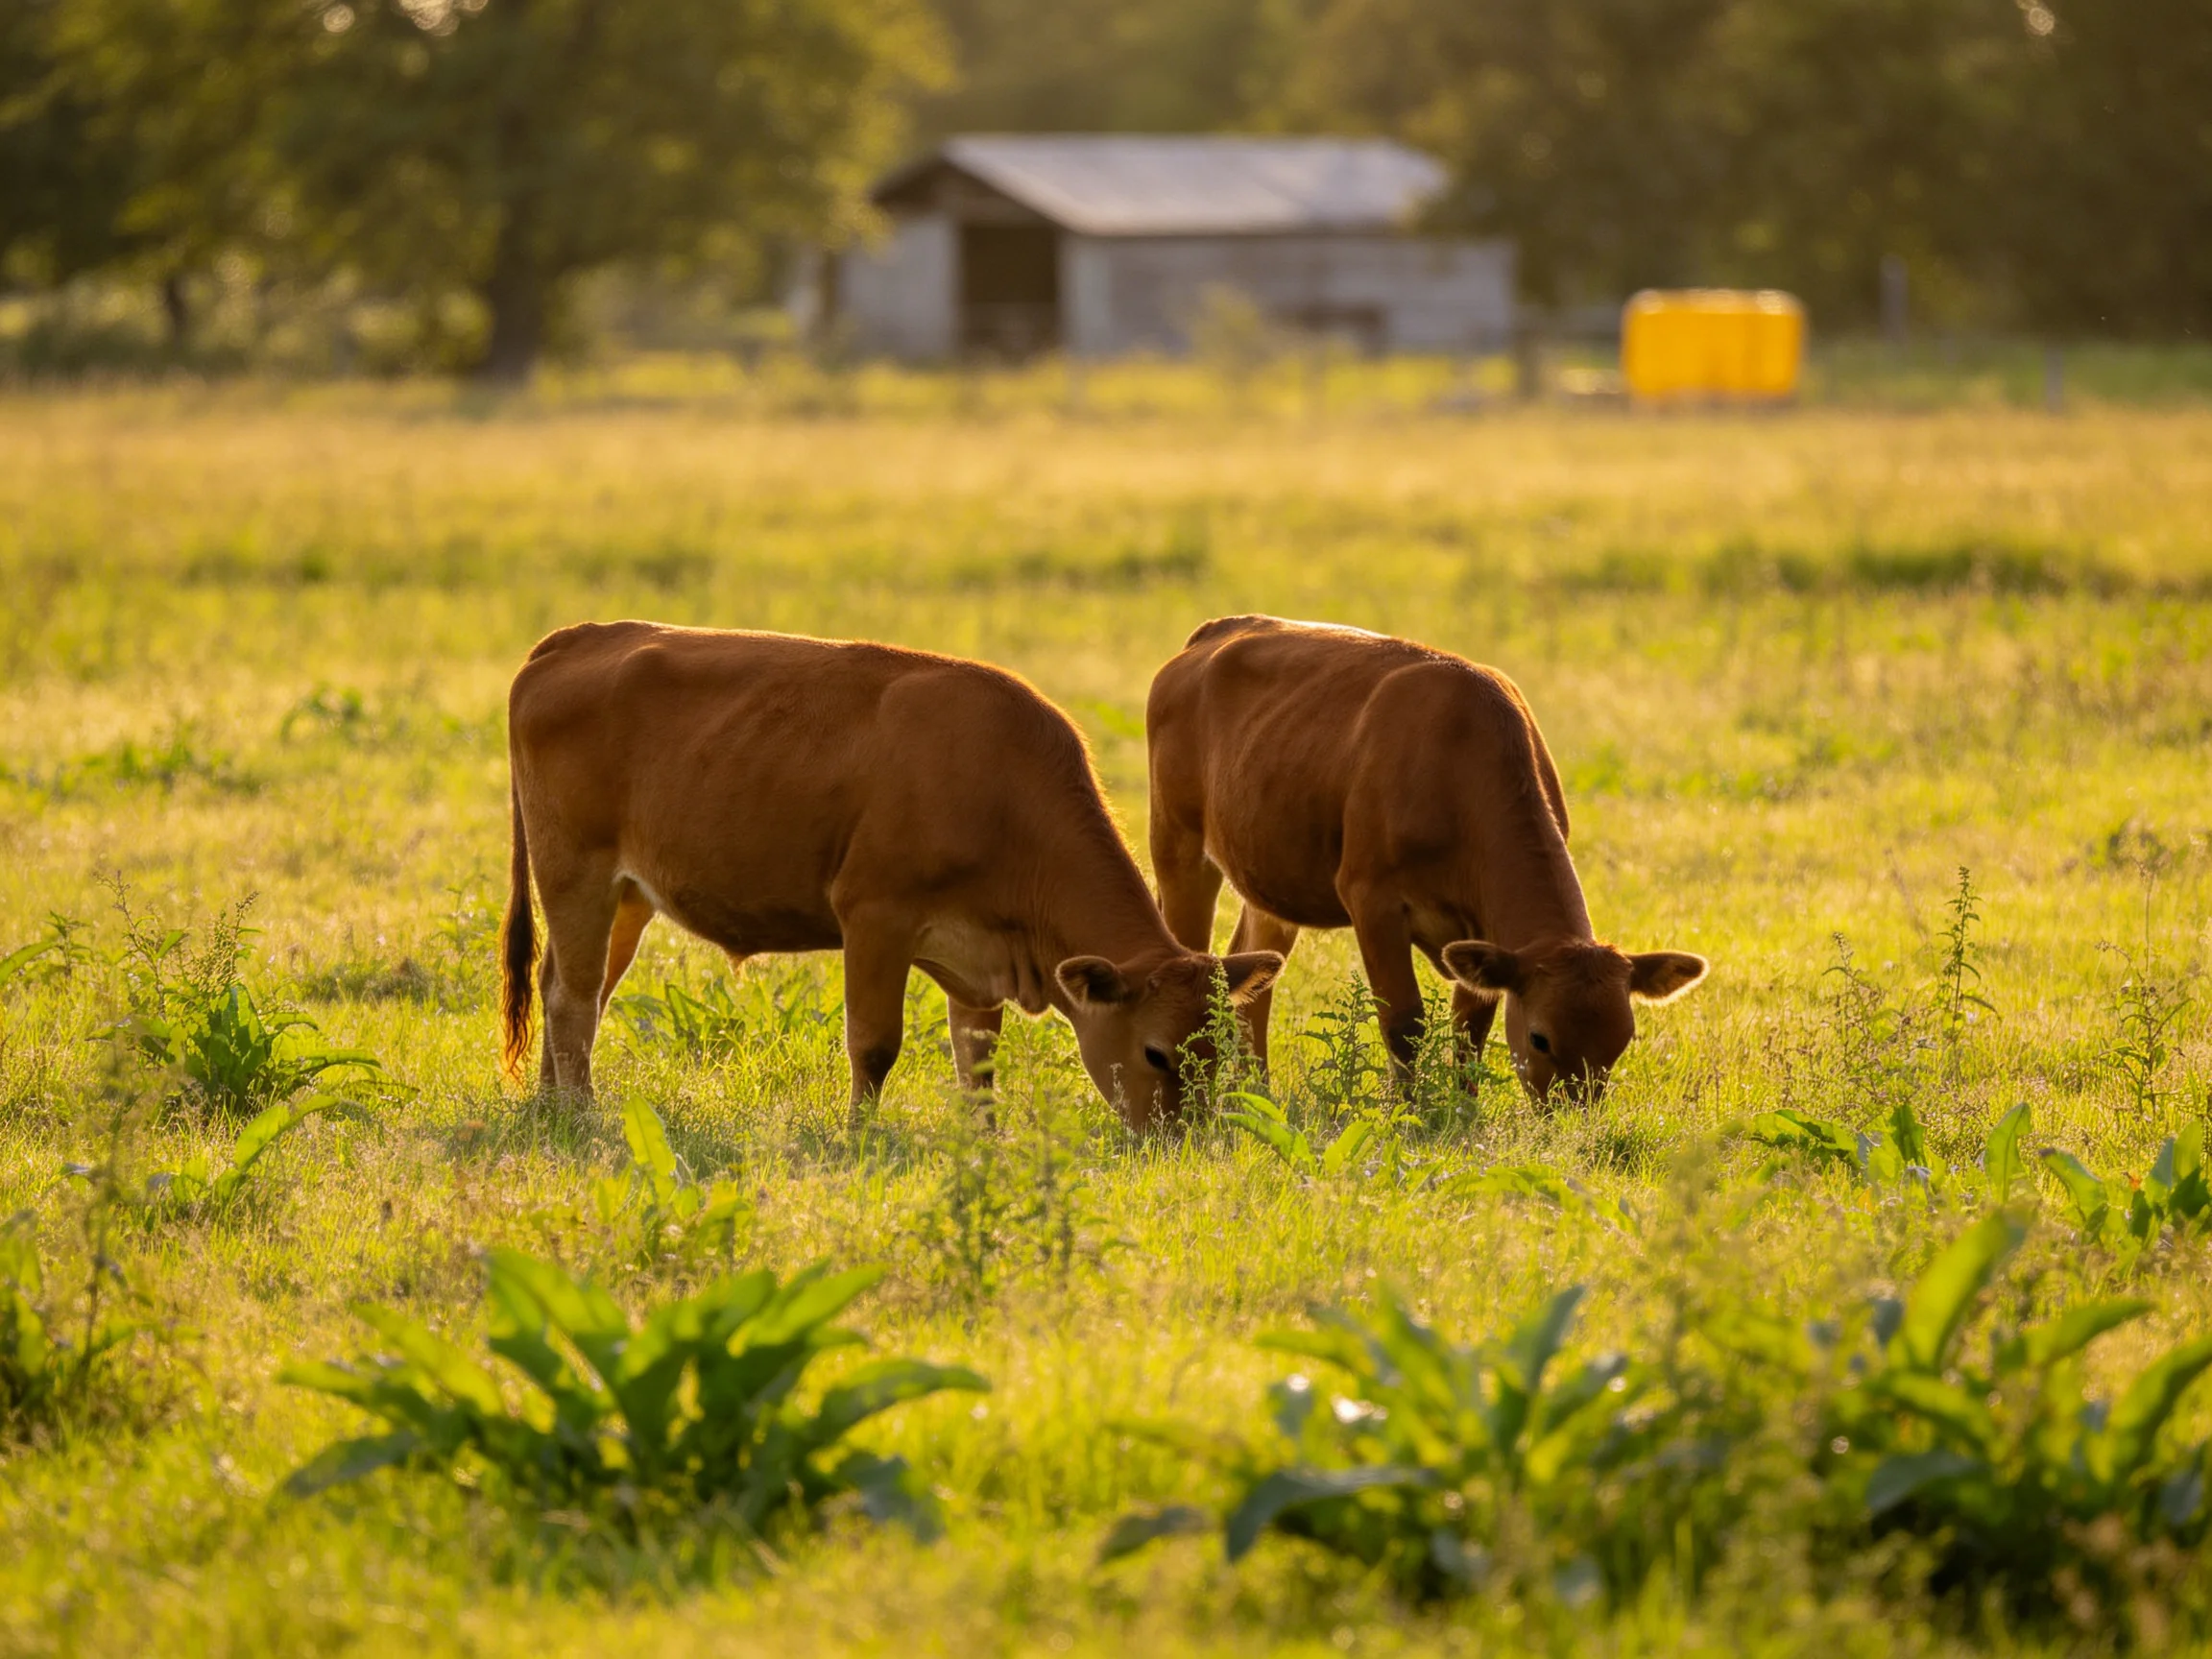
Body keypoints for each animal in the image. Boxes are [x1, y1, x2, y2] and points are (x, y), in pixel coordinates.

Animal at [500, 621, 1282, 1126]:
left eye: (1220, 1051)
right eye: (1156, 1053)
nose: (1181, 1142)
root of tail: (576, 637)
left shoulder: (978, 962)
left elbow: (979, 1064)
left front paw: (984, 1143)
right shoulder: (874, 917)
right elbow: (875, 1045)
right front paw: (861, 1137)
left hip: (628, 897)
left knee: (572, 983)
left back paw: (548, 1105)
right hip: (576, 874)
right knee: (572, 998)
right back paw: (583, 1114)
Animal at [1145, 615, 1707, 1101]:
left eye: (1622, 1039)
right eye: (1540, 1038)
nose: (1572, 1115)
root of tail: (1220, 629)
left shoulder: (1483, 933)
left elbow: (1470, 1028)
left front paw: (1462, 1109)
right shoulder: (1371, 898)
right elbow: (1405, 1023)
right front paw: (1410, 1111)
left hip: (1270, 876)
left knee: (1251, 979)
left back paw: (1257, 1094)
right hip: (1177, 845)